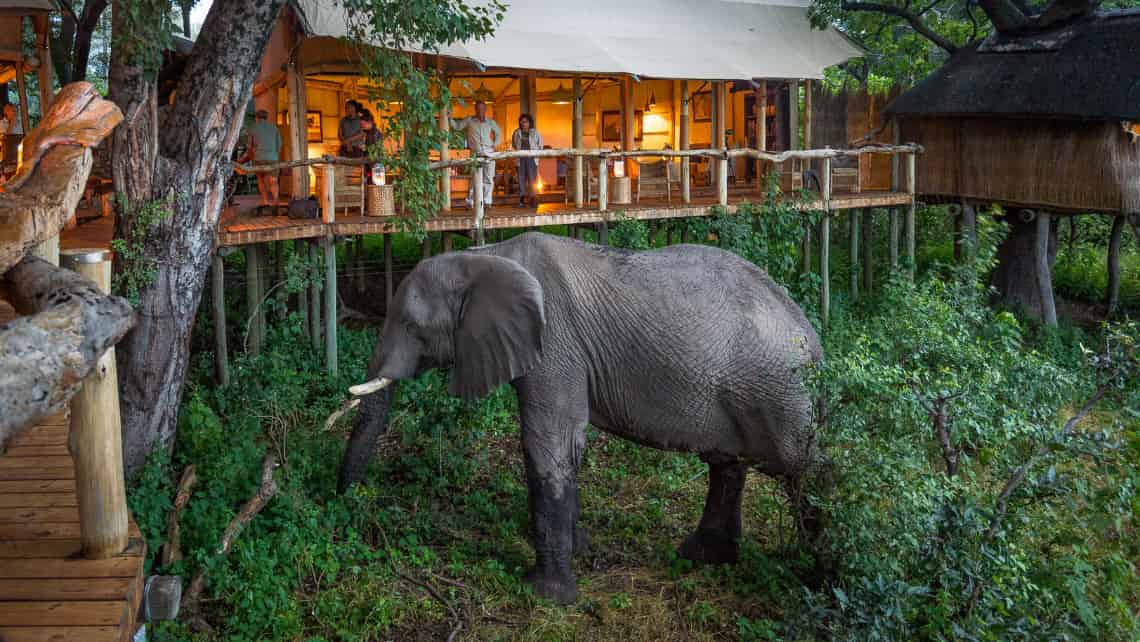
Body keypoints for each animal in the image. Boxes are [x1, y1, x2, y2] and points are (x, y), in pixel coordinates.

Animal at [335, 232, 820, 606]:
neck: (486, 255)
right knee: (727, 464)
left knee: (803, 472)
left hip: (779, 392)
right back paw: (702, 558)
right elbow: (570, 444)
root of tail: (811, 335)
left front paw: (545, 594)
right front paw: (581, 549)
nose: (343, 503)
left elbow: (548, 443)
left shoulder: (555, 345)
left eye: (412, 327)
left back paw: (810, 570)